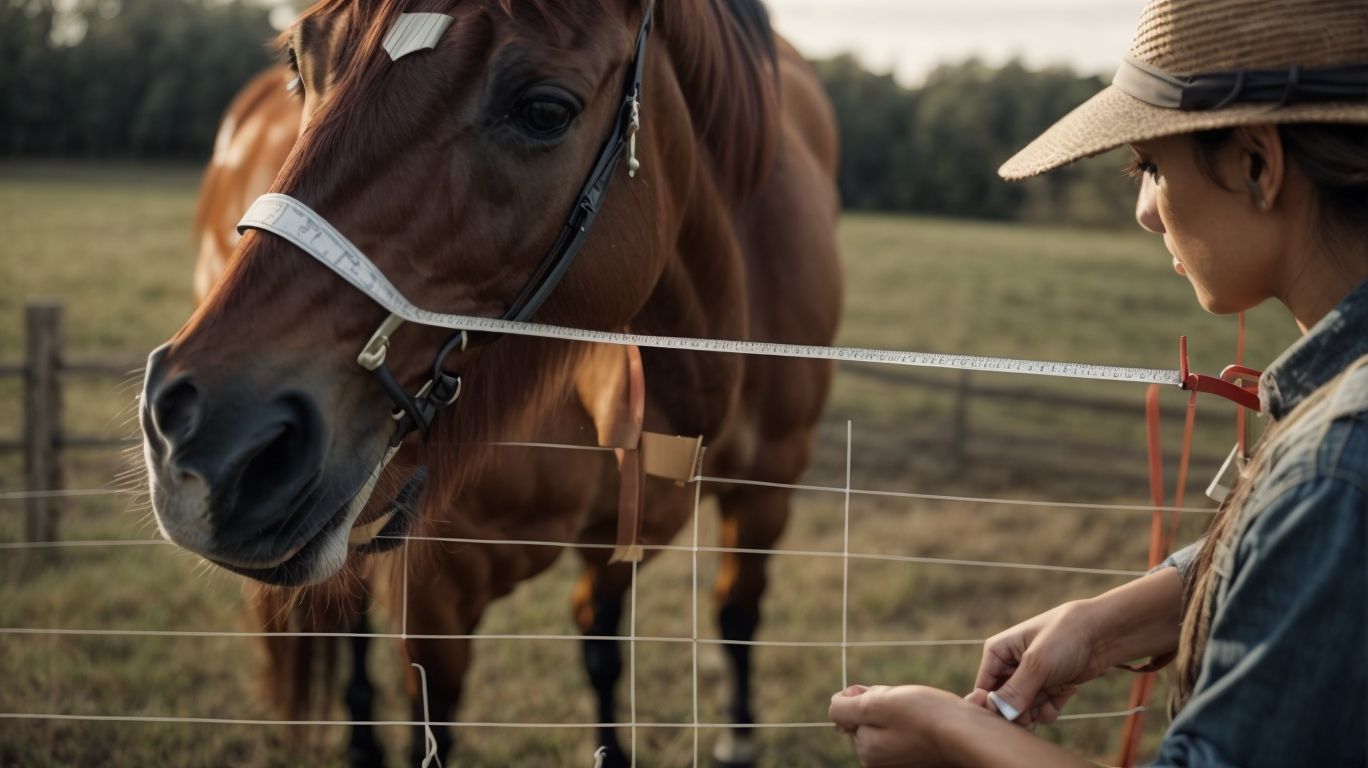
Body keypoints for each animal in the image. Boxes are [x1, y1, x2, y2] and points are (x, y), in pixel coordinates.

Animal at [149, 1, 841, 765]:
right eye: (302, 63)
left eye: (544, 110)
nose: (197, 434)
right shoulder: (440, 585)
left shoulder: (750, 490)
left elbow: (681, 625)